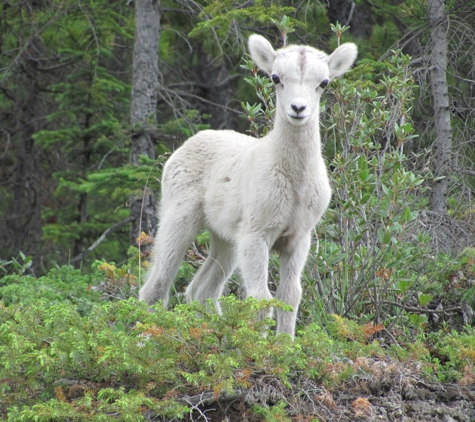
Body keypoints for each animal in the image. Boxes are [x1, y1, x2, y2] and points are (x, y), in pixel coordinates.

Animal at [139, 33, 358, 338]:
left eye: (324, 82)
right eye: (276, 78)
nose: (298, 109)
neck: (295, 185)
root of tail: (179, 151)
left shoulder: (298, 238)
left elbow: (290, 296)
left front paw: (285, 344)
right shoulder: (257, 234)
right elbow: (261, 299)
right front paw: (260, 345)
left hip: (226, 239)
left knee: (201, 289)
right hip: (179, 217)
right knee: (157, 285)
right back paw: (146, 339)